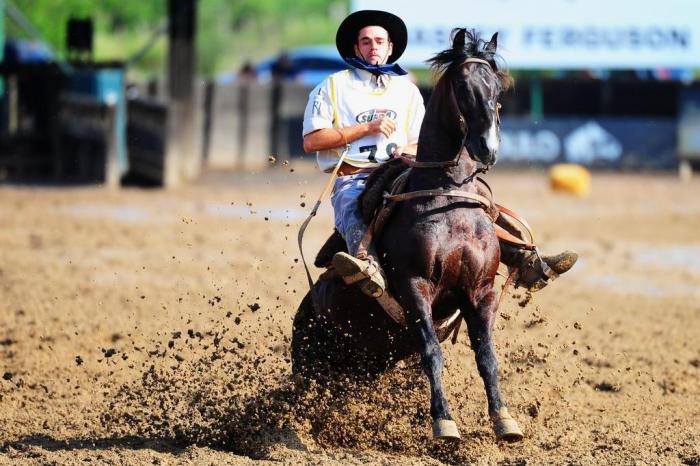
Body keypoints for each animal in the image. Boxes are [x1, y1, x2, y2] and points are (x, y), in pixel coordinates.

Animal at [292, 30, 524, 444]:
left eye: (497, 87)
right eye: (462, 86)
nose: (488, 147)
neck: (446, 199)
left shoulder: (478, 291)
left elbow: (487, 357)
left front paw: (504, 420)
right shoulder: (414, 287)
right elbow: (432, 352)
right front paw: (444, 422)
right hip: (312, 360)